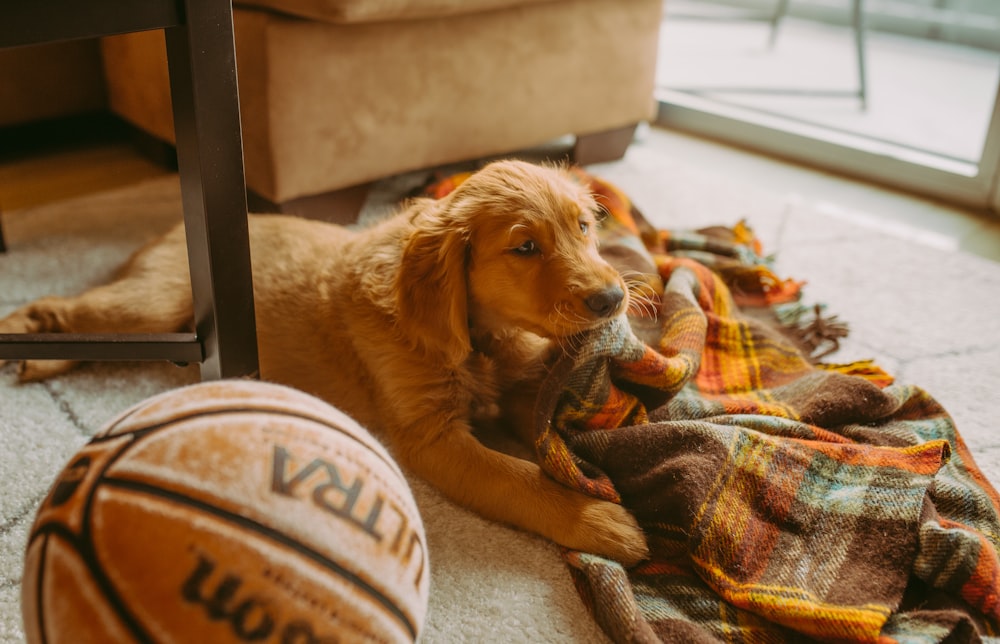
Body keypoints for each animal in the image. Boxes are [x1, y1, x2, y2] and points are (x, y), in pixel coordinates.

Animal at [0, 160, 648, 564]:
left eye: (584, 227)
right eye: (525, 247)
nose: (612, 298)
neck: (475, 334)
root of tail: (170, 235)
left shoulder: (514, 387)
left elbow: (544, 430)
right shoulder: (432, 437)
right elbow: (516, 477)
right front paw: (598, 521)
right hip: (156, 306)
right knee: (69, 306)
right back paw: (24, 336)